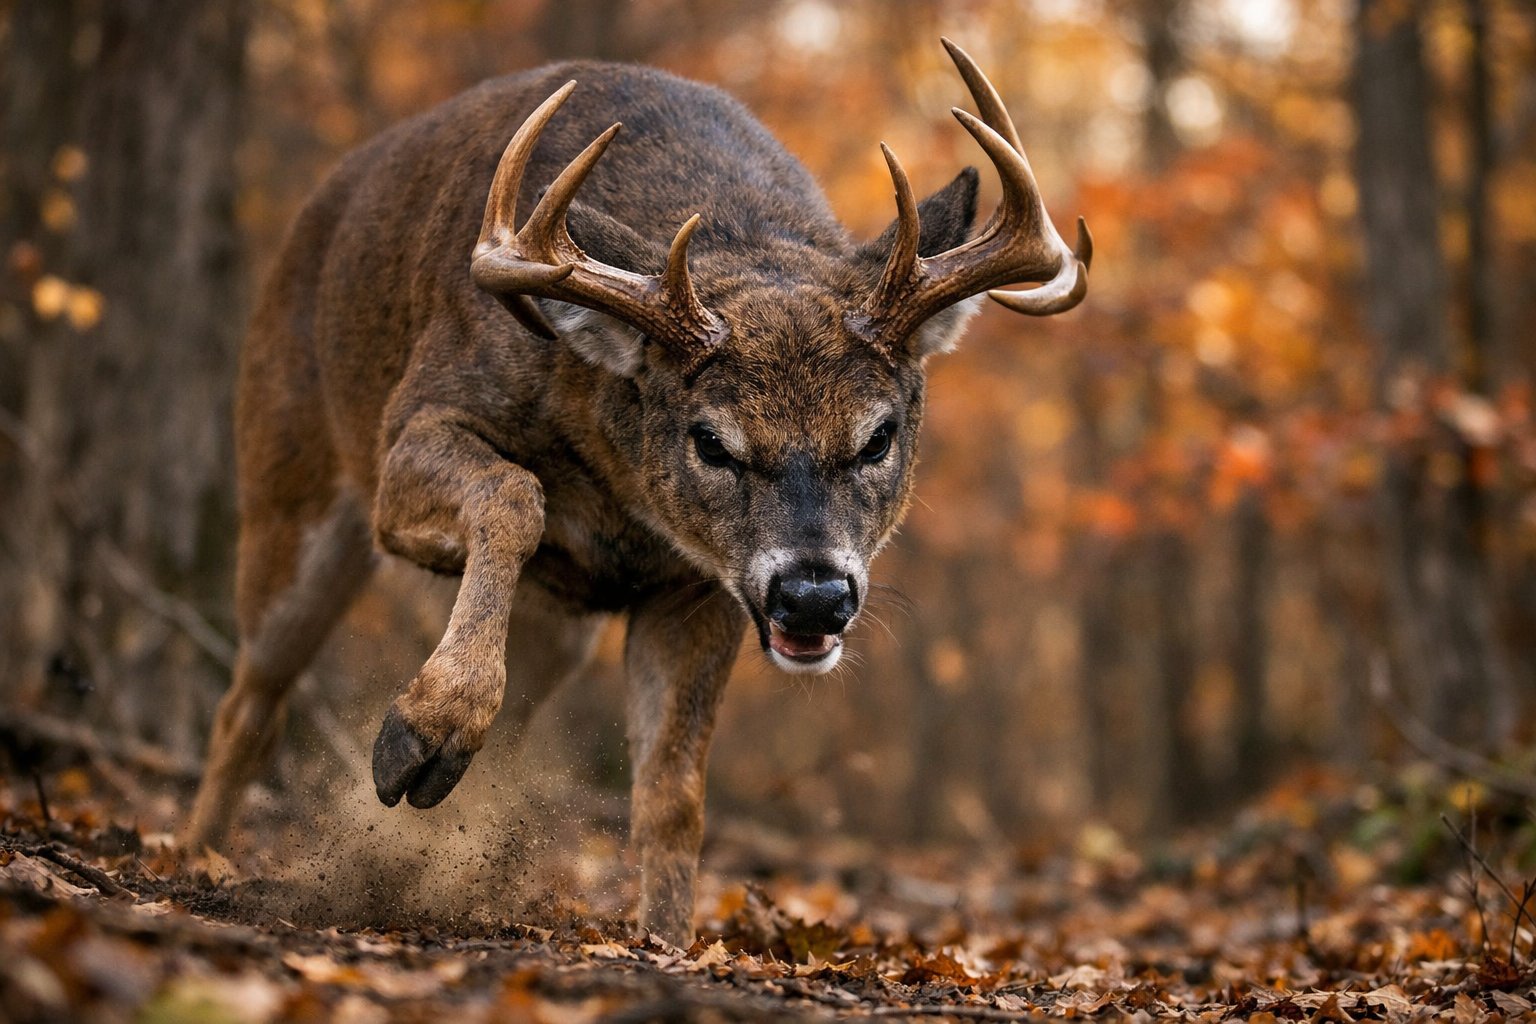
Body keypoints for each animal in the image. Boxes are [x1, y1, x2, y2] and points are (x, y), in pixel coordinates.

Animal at [182, 38, 1089, 944]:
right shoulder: (413, 426)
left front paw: (667, 940)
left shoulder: (702, 587)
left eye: (878, 437)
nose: (814, 595)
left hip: (558, 625)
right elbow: (514, 494)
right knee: (249, 698)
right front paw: (421, 729)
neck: (623, 495)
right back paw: (198, 860)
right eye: (712, 441)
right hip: (290, 483)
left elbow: (671, 800)